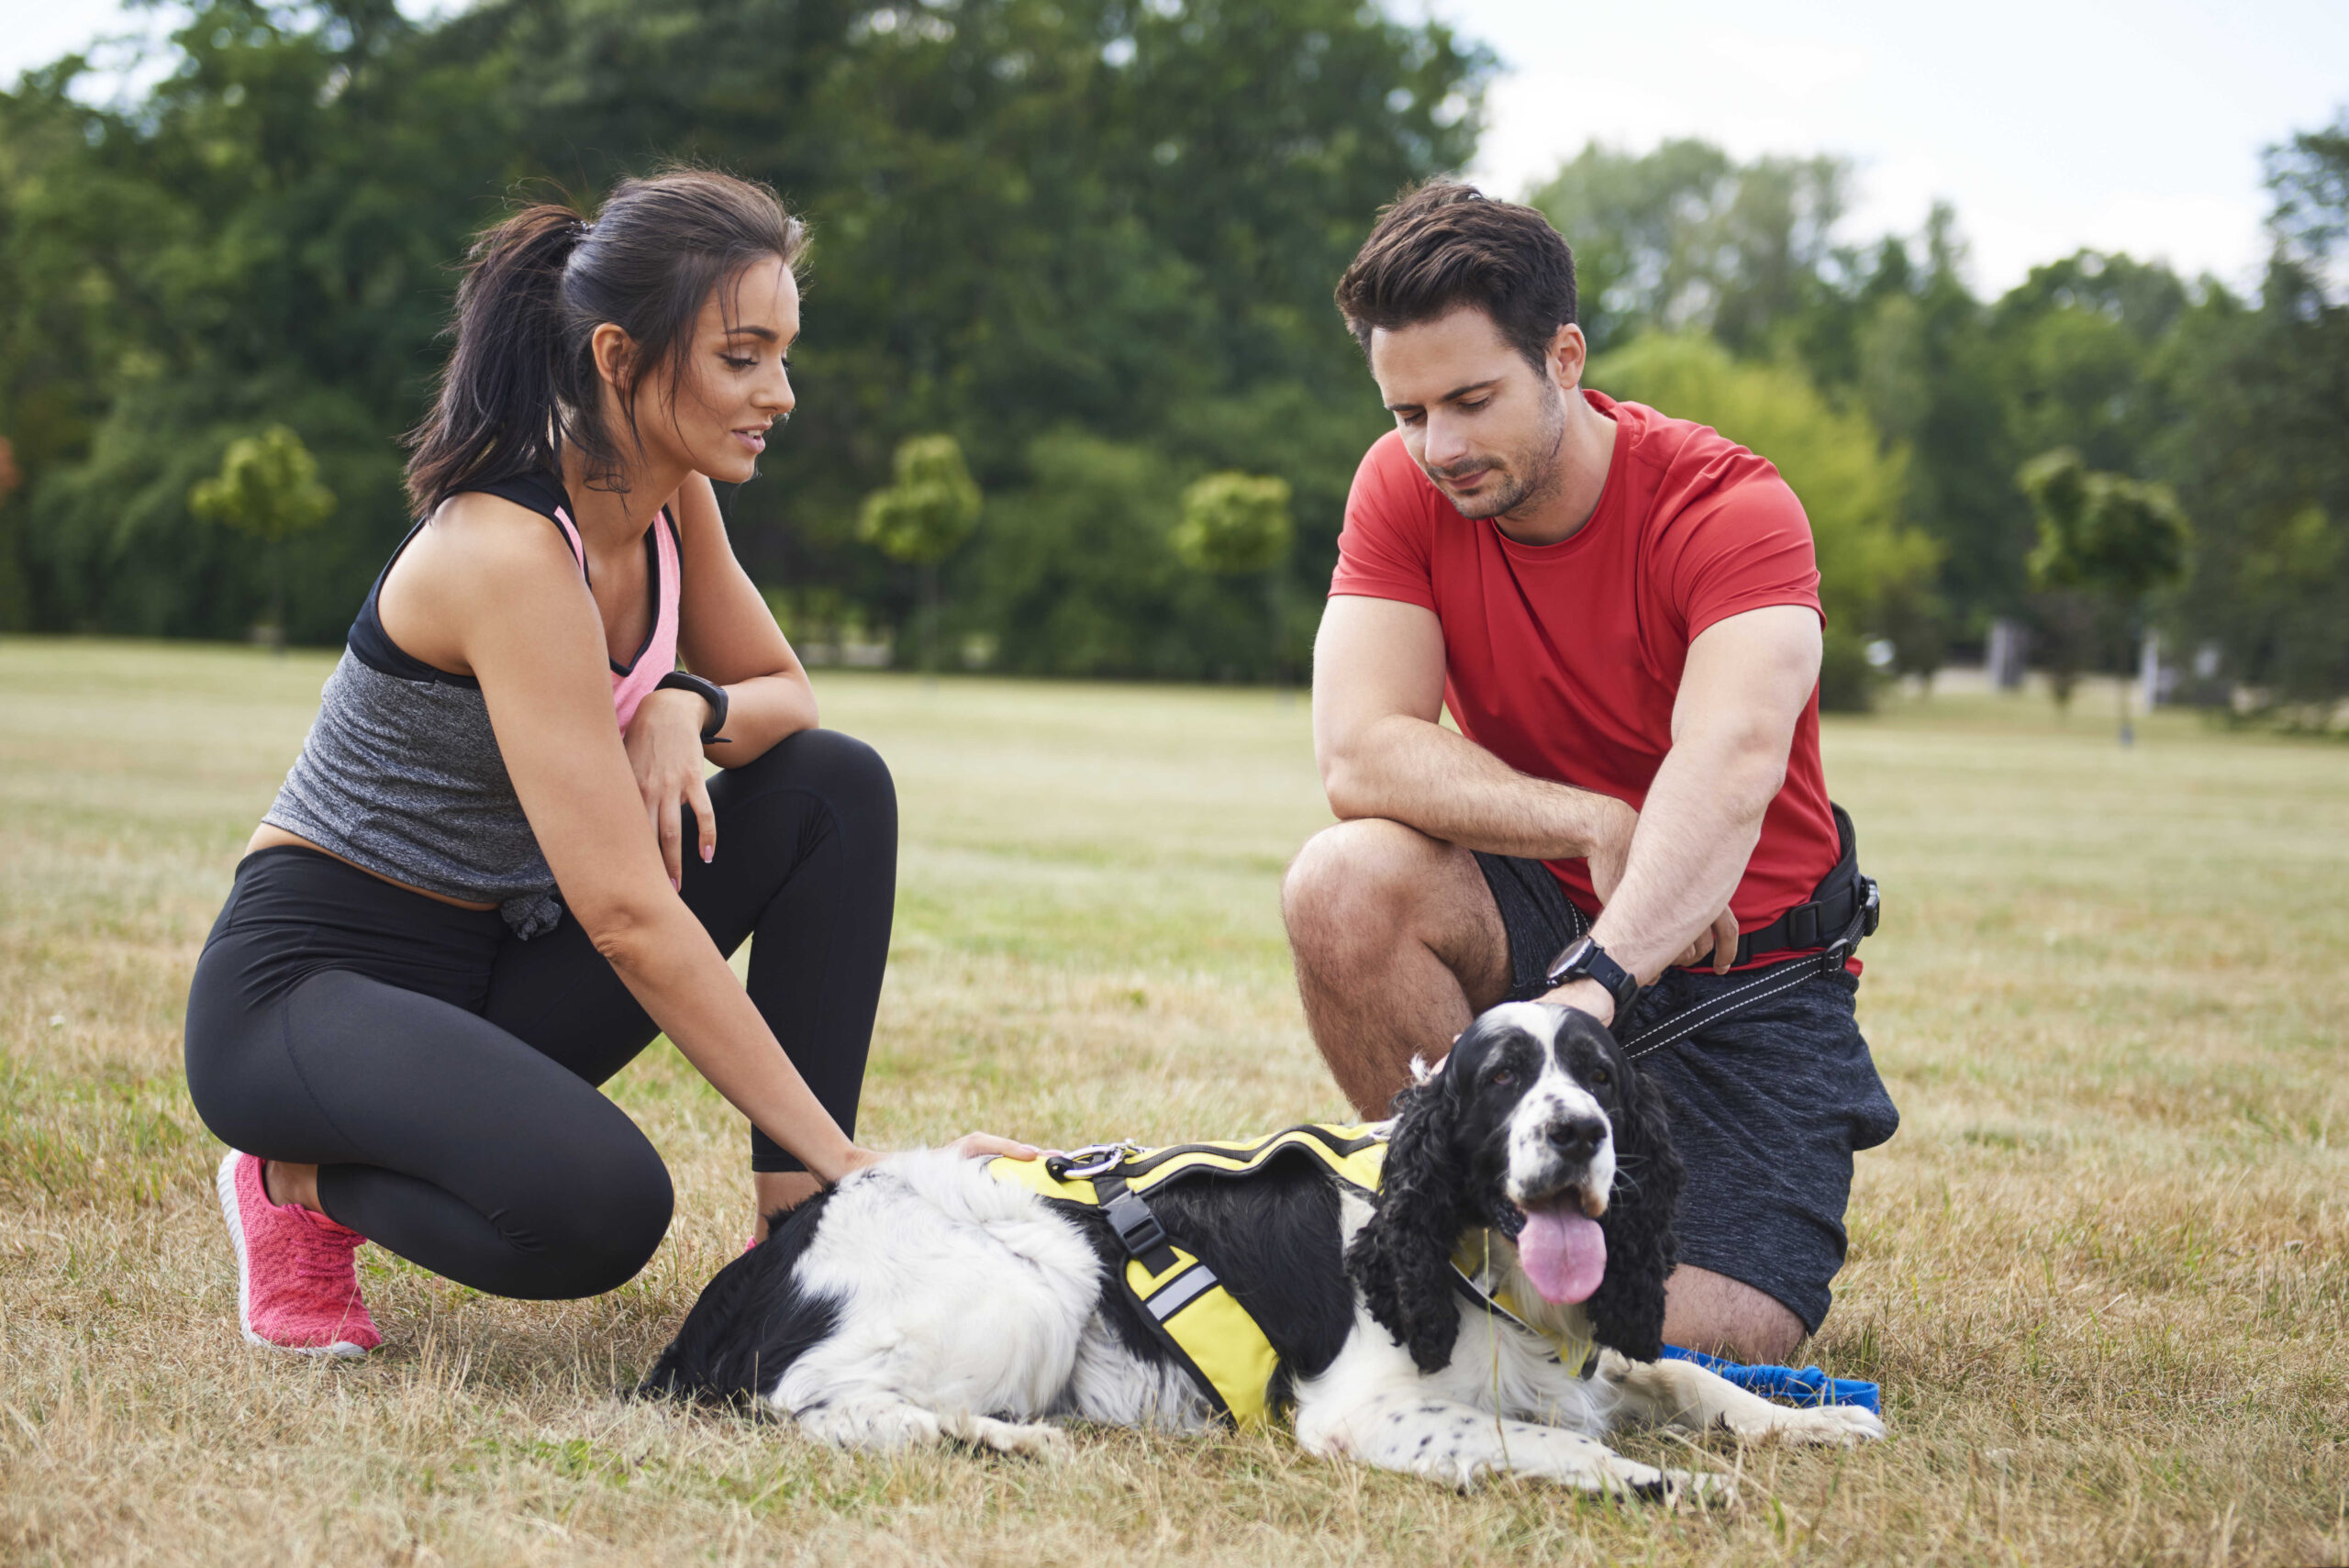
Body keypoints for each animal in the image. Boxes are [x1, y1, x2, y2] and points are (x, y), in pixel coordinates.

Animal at [643, 1004, 1888, 1493]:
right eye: (1501, 1079)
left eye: (1600, 1074)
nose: (1578, 1132)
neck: (1451, 1249)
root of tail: (760, 1260)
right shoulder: (1367, 1410)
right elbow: (1542, 1438)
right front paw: (1656, 1481)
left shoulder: (1585, 1352)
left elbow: (1682, 1371)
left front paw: (1812, 1419)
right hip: (1043, 1271)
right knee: (816, 1399)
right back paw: (994, 1438)